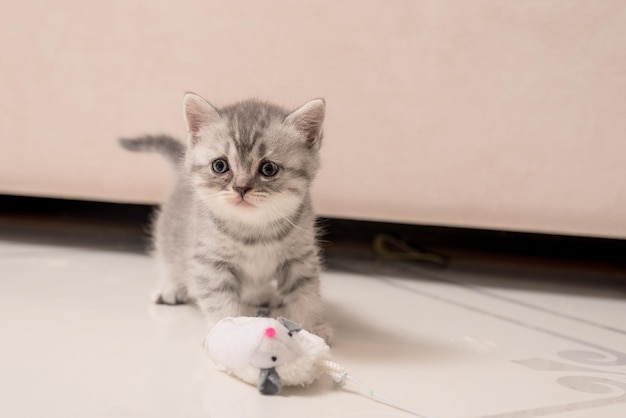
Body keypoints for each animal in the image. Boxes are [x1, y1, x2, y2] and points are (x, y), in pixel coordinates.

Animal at [119, 93, 330, 342]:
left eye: (268, 169)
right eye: (220, 165)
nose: (241, 188)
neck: (254, 228)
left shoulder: (300, 258)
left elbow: (307, 295)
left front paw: (313, 328)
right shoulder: (209, 263)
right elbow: (220, 301)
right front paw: (228, 331)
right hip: (168, 234)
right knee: (170, 260)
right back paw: (172, 288)